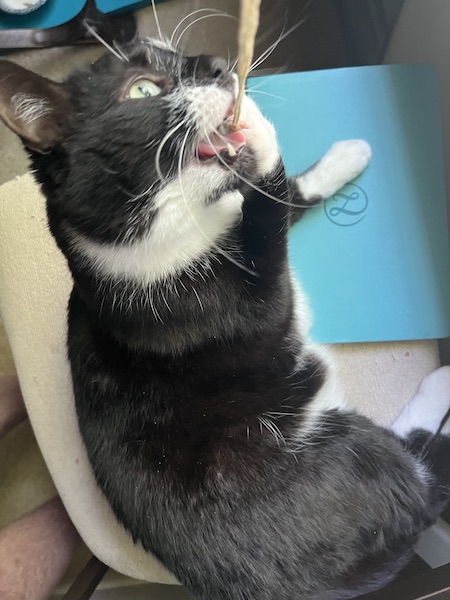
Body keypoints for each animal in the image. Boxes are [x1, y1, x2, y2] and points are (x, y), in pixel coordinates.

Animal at [0, 39, 450, 596]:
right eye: (143, 88)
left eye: (175, 53)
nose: (216, 66)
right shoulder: (220, 305)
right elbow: (266, 222)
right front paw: (252, 123)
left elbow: (278, 196)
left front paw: (342, 157)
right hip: (353, 464)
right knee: (424, 479)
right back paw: (439, 387)